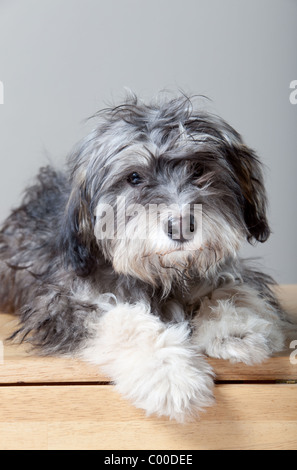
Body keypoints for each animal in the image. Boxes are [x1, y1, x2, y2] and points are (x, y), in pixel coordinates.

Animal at [0, 93, 290, 420]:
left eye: (198, 170)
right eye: (134, 177)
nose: (181, 226)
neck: (164, 275)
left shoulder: (231, 271)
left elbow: (233, 289)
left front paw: (238, 329)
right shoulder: (63, 305)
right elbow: (126, 323)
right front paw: (170, 374)